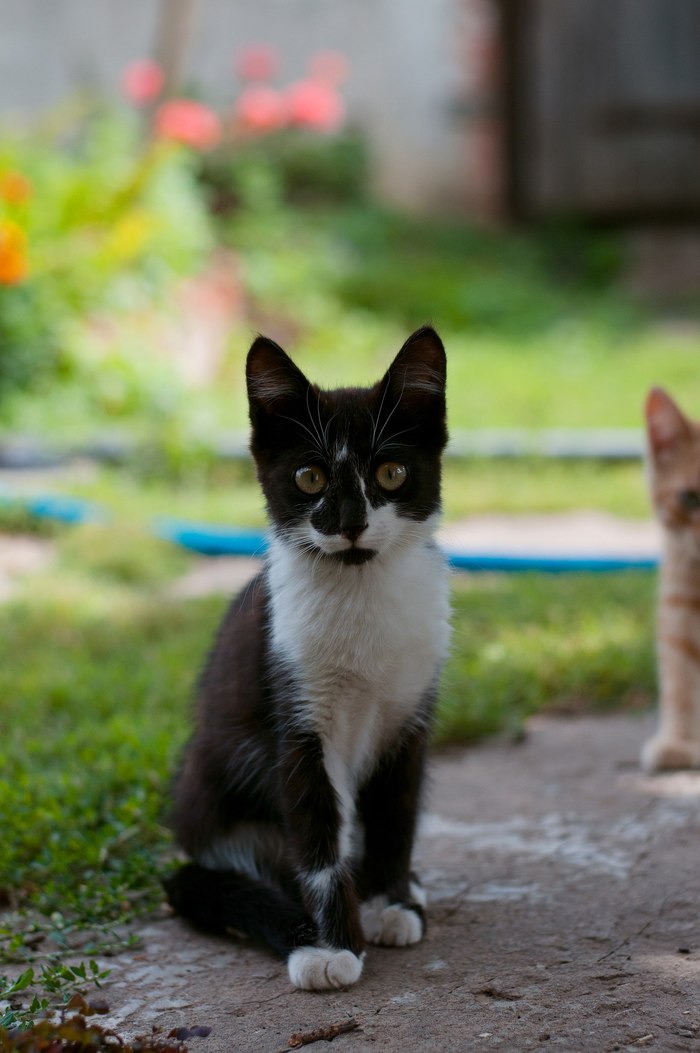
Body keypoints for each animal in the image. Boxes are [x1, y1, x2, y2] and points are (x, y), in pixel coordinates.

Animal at [163, 324, 448, 989]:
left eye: (391, 472)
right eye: (310, 478)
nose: (350, 523)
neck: (361, 589)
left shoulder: (410, 715)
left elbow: (397, 816)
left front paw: (391, 901)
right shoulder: (296, 718)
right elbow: (318, 841)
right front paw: (331, 945)